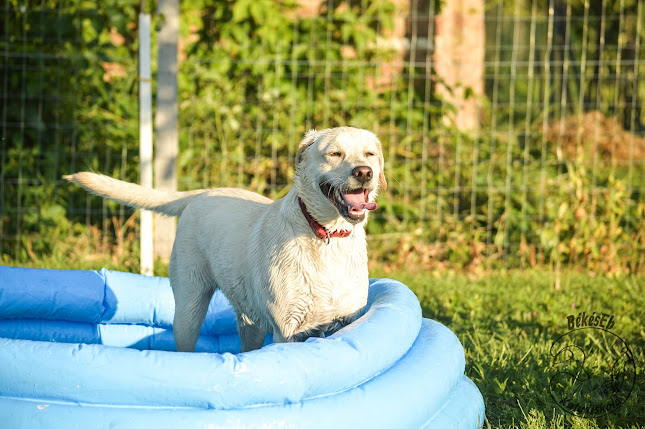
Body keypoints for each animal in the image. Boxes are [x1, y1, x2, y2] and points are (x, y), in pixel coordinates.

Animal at [66, 126, 384, 352]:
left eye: (369, 154)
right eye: (335, 154)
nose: (364, 172)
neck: (327, 235)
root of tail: (203, 193)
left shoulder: (346, 320)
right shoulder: (288, 331)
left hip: (250, 320)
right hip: (189, 307)